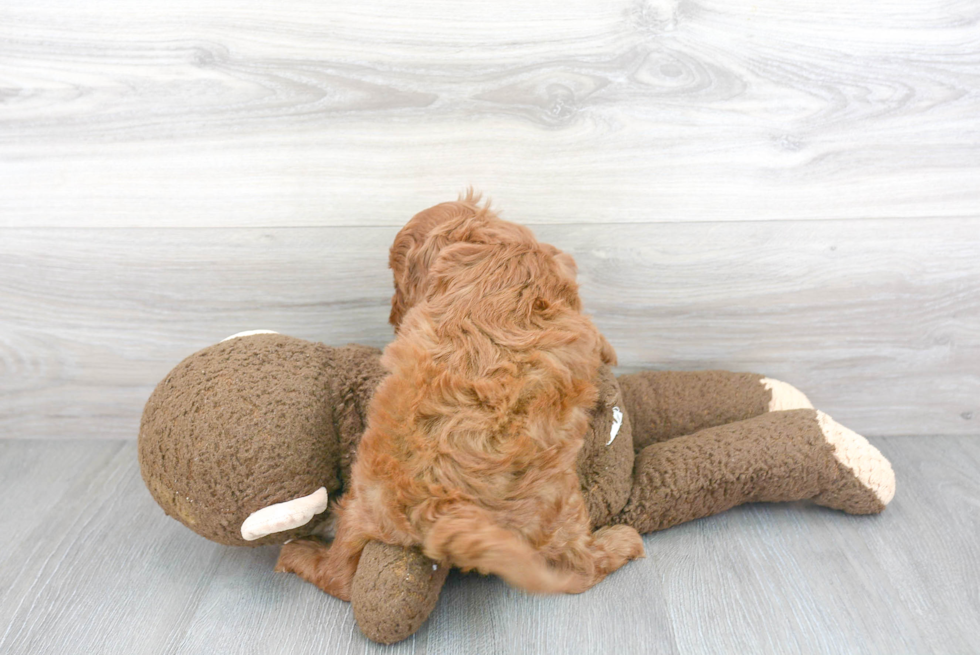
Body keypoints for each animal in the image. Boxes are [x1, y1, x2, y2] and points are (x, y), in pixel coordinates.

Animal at [276, 193, 644, 600]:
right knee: (582, 567)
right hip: (559, 505)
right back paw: (623, 541)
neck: (488, 247)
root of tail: (442, 509)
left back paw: (298, 553)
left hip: (360, 506)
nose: (393, 315)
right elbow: (596, 336)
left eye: (398, 280)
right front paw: (610, 353)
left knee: (338, 576)